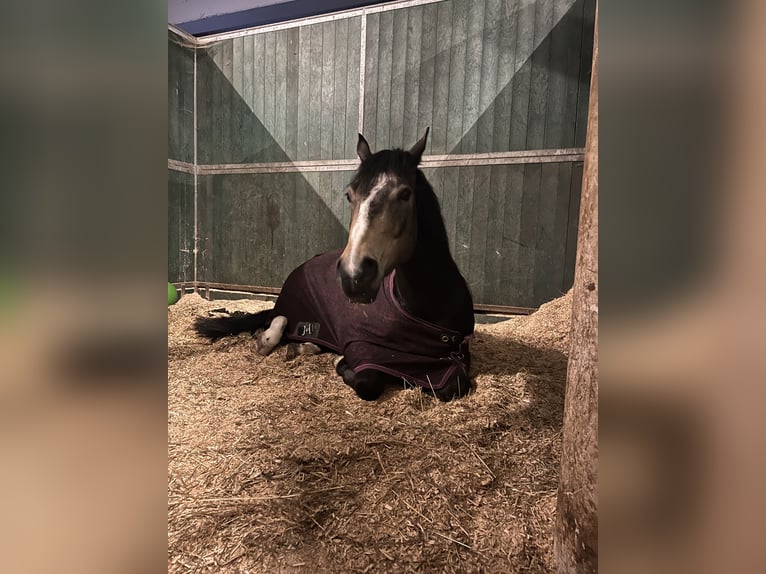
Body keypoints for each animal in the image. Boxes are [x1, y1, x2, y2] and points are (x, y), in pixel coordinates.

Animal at [194, 129, 474, 404]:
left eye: (405, 194)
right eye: (349, 195)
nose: (354, 275)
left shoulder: (454, 360)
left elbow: (455, 387)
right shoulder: (362, 350)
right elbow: (367, 383)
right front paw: (340, 363)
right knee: (273, 328)